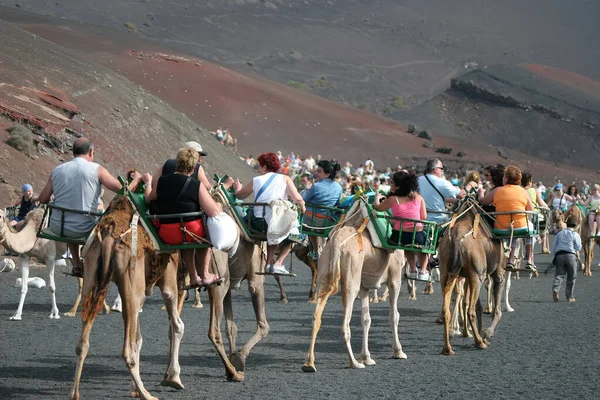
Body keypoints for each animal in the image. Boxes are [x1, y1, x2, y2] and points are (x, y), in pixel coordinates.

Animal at [69, 197, 185, 400]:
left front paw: (134, 389)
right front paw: (174, 378)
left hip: (93, 274)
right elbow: (177, 326)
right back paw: (147, 394)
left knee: (82, 343)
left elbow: (138, 338)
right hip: (131, 280)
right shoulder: (168, 282)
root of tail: (108, 235)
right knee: (127, 350)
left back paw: (74, 394)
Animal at [300, 202, 408, 374]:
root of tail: (336, 242)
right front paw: (398, 351)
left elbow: (366, 319)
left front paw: (367, 357)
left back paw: (309, 364)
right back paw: (354, 363)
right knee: (345, 323)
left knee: (316, 317)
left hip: (325, 271)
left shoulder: (364, 286)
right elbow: (394, 315)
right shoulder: (395, 278)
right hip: (351, 279)